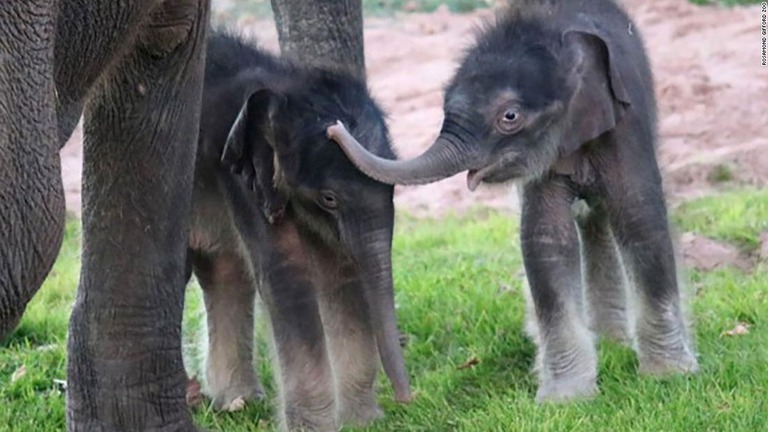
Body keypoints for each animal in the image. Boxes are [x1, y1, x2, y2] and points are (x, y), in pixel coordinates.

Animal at [187, 32, 412, 430]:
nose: (408, 399)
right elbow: (286, 278)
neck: (282, 85)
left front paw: (361, 422)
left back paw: (237, 402)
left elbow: (337, 272)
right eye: (329, 198)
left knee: (223, 271)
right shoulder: (241, 177)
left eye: (393, 189)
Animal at [328, 0, 700, 404]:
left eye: (510, 116)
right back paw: (603, 342)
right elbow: (546, 238)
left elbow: (639, 217)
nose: (333, 129)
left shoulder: (625, 124)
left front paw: (669, 375)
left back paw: (613, 344)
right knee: (590, 222)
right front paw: (566, 398)